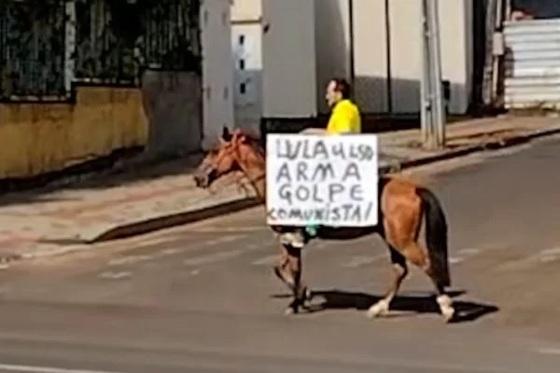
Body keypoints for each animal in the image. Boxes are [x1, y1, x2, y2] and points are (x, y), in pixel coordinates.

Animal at [194, 128, 456, 320]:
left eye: (215, 150)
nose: (197, 177)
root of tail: (414, 188)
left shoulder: (291, 238)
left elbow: (288, 270)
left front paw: (299, 299)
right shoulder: (289, 240)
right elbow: (285, 269)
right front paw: (301, 297)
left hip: (401, 240)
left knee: (426, 264)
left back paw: (446, 307)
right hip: (391, 237)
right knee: (400, 270)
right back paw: (379, 307)